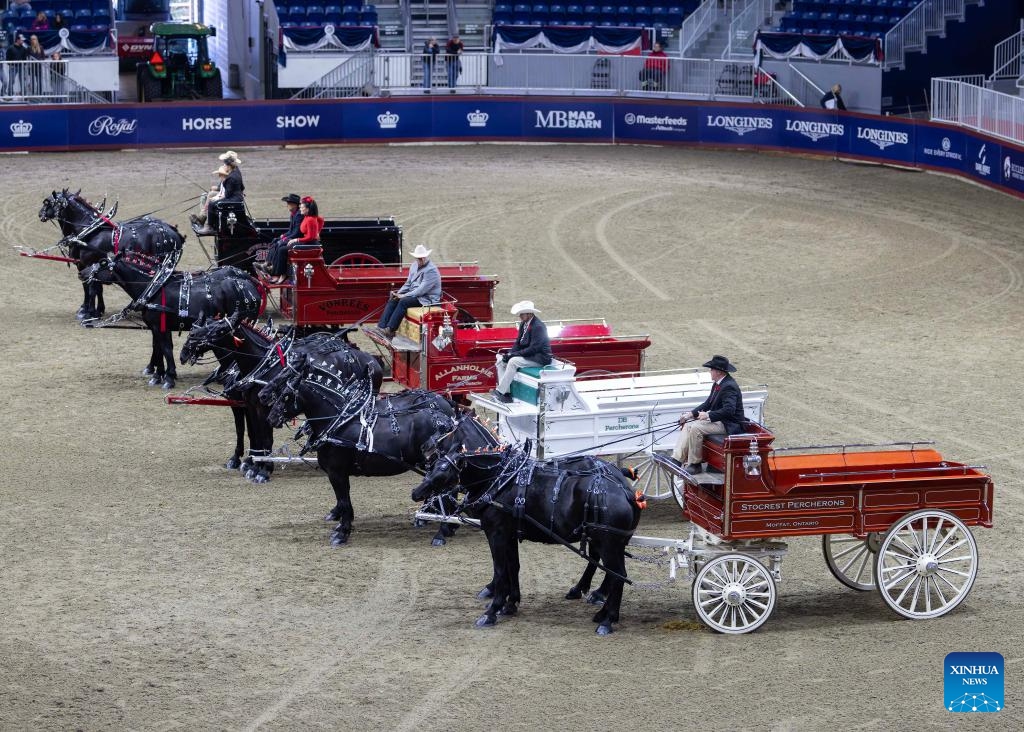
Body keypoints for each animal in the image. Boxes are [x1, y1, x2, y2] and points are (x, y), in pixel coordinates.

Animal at [39, 189, 185, 320]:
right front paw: (94, 309)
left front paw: (89, 313)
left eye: (47, 202)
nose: (40, 214)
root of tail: (174, 231)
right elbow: (91, 287)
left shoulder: (92, 264)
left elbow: (92, 288)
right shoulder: (83, 265)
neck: (90, 232)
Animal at [80, 252, 264, 389]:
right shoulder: (155, 326)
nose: (81, 272)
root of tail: (250, 285)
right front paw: (157, 374)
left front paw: (168, 378)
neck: (153, 289)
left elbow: (166, 349)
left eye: (103, 263)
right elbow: (157, 348)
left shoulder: (159, 326)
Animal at [179, 314, 383, 483]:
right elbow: (251, 433)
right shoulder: (248, 405)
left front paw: (262, 469)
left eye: (219, 330)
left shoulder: (263, 408)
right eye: (199, 327)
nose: (184, 353)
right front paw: (250, 462)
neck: (264, 365)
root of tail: (373, 360)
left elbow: (264, 437)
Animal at [257, 363, 458, 547]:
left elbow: (344, 501)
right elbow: (343, 500)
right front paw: (341, 525)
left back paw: (440, 529)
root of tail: (447, 418)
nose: (270, 417)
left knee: (448, 493)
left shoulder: (336, 472)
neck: (338, 422)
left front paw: (341, 534)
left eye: (286, 394)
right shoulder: (340, 474)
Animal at [411, 414, 644, 635]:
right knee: (610, 571)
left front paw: (492, 610)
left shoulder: (496, 533)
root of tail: (626, 490)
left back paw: (606, 619)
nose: (416, 492)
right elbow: (513, 566)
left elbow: (500, 570)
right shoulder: (510, 534)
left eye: (443, 469)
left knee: (618, 574)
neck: (500, 479)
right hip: (611, 541)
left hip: (608, 542)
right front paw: (510, 604)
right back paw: (597, 606)